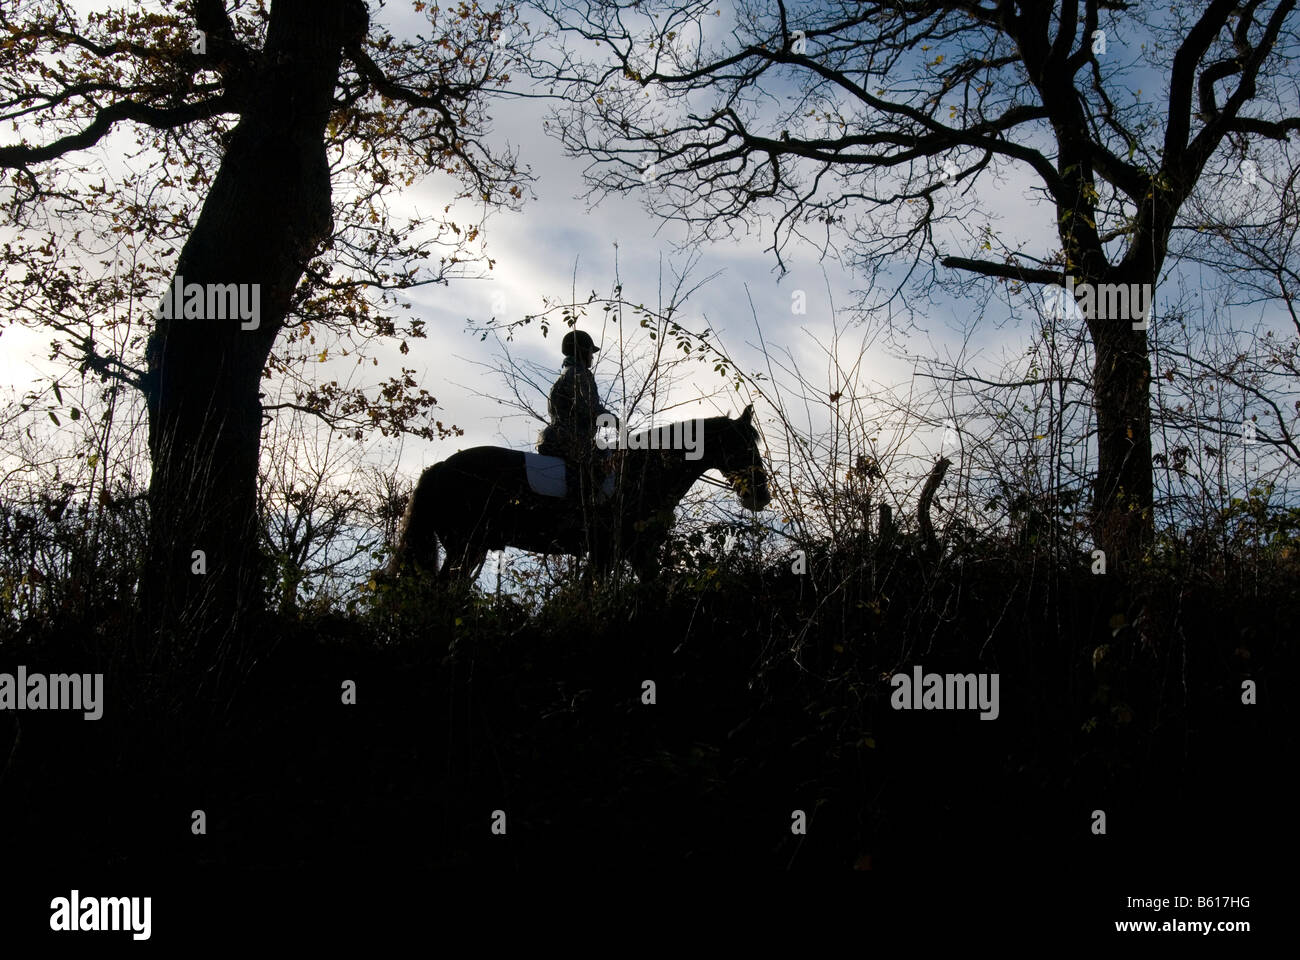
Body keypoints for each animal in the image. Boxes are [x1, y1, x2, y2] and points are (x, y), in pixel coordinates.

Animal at [384, 403, 769, 582]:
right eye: (743, 446)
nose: (760, 497)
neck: (644, 473)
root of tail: (440, 469)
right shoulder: (620, 551)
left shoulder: (626, 553)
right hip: (466, 545)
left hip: (468, 547)